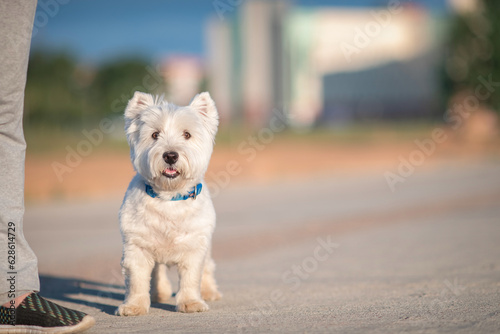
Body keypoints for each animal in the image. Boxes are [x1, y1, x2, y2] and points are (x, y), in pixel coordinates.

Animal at [116, 91, 221, 316]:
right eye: (155, 135)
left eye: (187, 134)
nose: (171, 155)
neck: (169, 197)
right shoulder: (136, 246)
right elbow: (137, 279)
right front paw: (134, 306)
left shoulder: (194, 246)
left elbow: (191, 277)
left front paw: (191, 303)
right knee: (158, 271)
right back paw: (159, 293)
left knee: (208, 267)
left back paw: (209, 292)